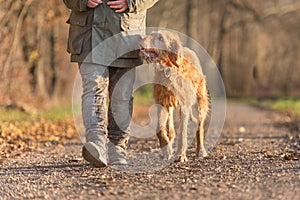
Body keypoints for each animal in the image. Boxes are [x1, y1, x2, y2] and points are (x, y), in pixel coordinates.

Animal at [139, 31, 210, 162]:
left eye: (160, 38)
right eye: (151, 34)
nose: (140, 36)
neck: (167, 69)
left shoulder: (185, 106)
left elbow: (182, 132)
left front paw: (181, 155)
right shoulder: (162, 103)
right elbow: (160, 129)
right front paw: (166, 150)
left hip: (200, 103)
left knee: (200, 128)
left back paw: (201, 150)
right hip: (170, 106)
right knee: (171, 130)